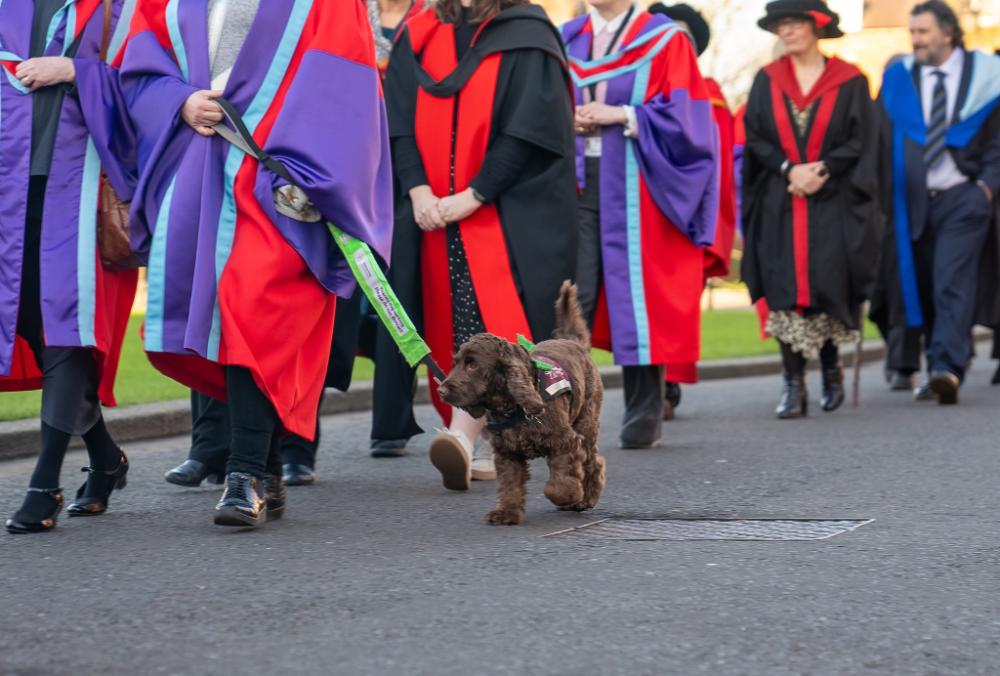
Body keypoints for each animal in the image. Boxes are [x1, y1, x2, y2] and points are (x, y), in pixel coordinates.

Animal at [436, 280, 604, 524]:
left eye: (473, 365)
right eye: (456, 363)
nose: (441, 390)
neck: (511, 408)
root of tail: (573, 342)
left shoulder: (566, 441)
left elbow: (558, 484)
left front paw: (569, 496)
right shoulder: (507, 454)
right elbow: (510, 487)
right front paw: (506, 513)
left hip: (586, 423)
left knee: (594, 463)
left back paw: (585, 499)